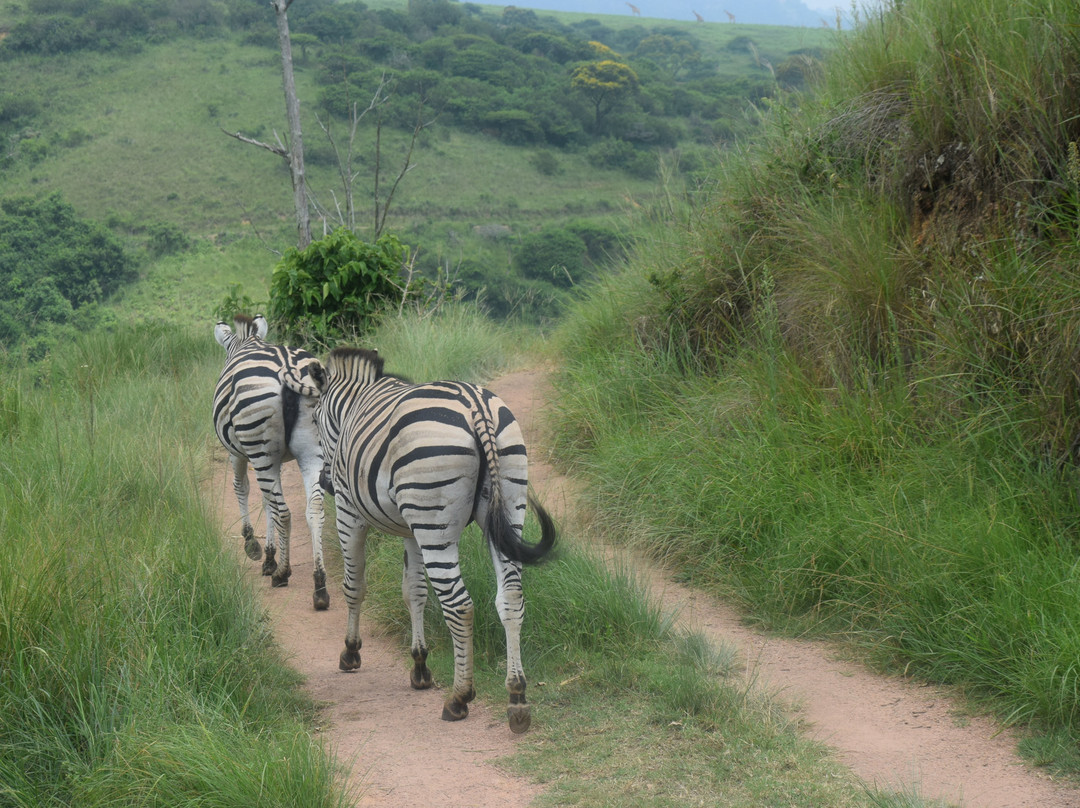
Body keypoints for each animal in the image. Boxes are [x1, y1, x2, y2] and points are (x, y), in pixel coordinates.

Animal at [210, 315, 328, 613]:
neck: (249, 341)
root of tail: (288, 367)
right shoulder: (277, 460)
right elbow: (267, 504)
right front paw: (270, 556)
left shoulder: (239, 454)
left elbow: (242, 489)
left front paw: (256, 549)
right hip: (312, 451)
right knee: (314, 510)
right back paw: (320, 586)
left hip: (259, 447)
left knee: (284, 512)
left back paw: (282, 574)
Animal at [308, 347, 552, 730]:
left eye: (316, 421)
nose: (325, 481)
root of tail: (477, 407)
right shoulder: (412, 529)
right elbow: (414, 592)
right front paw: (420, 665)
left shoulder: (349, 513)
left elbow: (354, 585)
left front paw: (350, 651)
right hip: (508, 503)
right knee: (511, 597)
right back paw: (517, 697)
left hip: (434, 521)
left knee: (460, 605)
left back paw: (459, 698)